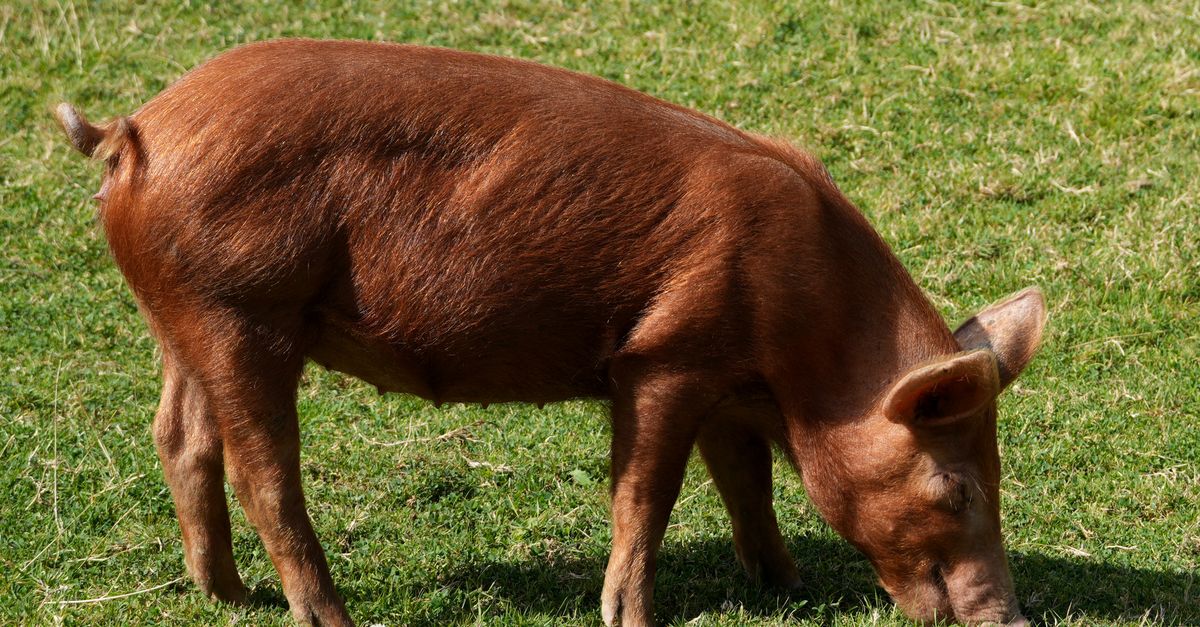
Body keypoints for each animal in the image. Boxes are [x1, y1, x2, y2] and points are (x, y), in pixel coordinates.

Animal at [56, 39, 1044, 626]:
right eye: (957, 488)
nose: (1010, 616)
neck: (811, 352)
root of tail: (133, 129)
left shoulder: (727, 386)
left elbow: (748, 484)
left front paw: (787, 583)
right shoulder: (663, 357)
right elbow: (646, 494)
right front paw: (631, 615)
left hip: (185, 319)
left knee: (179, 437)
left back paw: (226, 594)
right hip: (242, 312)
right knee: (264, 473)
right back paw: (325, 614)